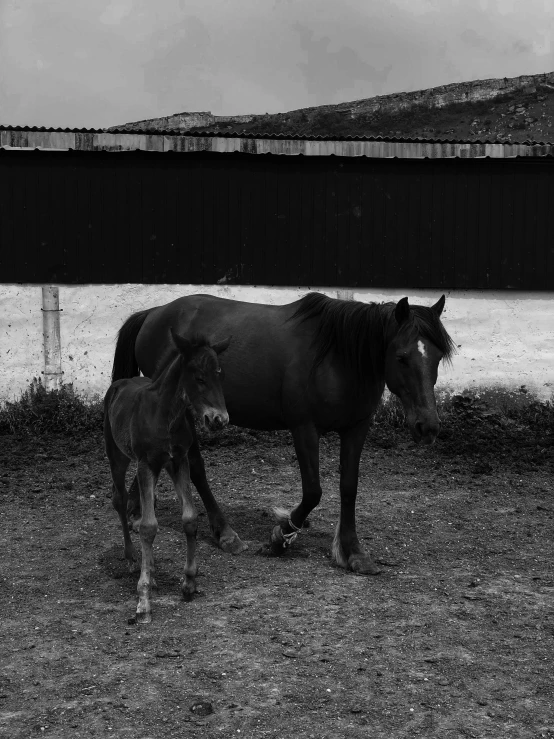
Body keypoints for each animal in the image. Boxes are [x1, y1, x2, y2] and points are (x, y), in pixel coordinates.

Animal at [112, 292, 452, 576]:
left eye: (437, 357)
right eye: (401, 357)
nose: (427, 426)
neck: (336, 357)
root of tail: (154, 313)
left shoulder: (356, 429)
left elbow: (349, 488)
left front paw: (353, 552)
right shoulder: (304, 428)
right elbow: (313, 491)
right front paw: (281, 536)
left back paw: (135, 507)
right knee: (195, 468)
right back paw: (224, 533)